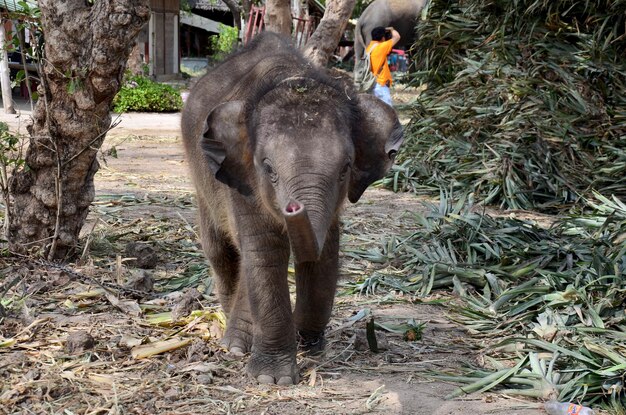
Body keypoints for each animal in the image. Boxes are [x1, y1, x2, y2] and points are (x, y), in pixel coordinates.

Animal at [183, 32, 402, 386]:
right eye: (268, 168)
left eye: (346, 168)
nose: (293, 206)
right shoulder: (242, 185)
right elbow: (265, 253)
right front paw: (273, 380)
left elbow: (324, 254)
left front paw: (308, 345)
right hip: (203, 185)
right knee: (221, 252)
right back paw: (233, 345)